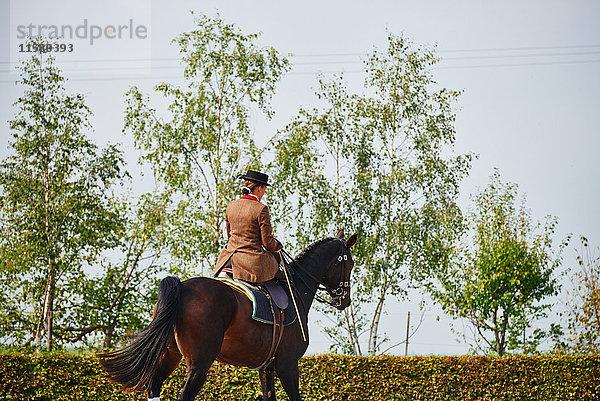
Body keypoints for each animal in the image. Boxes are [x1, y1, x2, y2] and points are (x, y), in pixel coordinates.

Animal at [98, 228, 356, 400]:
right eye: (350, 263)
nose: (344, 301)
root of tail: (182, 286)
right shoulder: (288, 365)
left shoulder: (267, 368)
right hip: (200, 364)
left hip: (170, 354)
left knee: (154, 386)